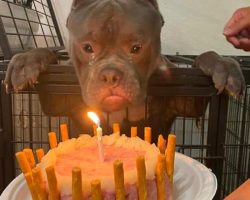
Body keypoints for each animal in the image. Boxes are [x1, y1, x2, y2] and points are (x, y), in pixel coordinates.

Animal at [3, 0, 245, 143]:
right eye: (87, 47)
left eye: (136, 48)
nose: (110, 74)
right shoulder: (58, 99)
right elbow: (49, 59)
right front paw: (28, 60)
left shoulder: (186, 98)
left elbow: (203, 61)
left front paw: (222, 64)